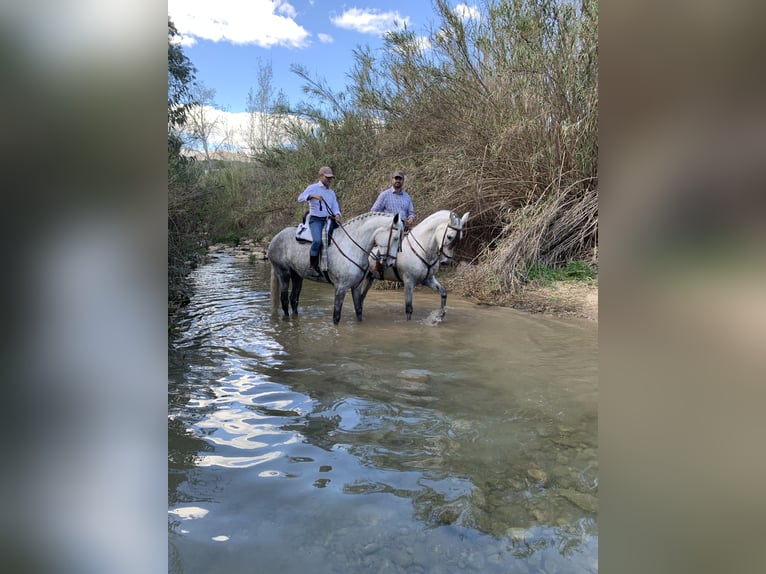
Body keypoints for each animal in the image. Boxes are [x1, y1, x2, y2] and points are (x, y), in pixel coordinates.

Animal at [268, 213, 404, 328]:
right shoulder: (341, 288)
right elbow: (336, 316)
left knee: (294, 299)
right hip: (283, 274)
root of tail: (276, 237)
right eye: (396, 238)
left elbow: (359, 311)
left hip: (297, 276)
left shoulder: (356, 287)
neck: (352, 246)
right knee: (284, 300)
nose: (391, 263)